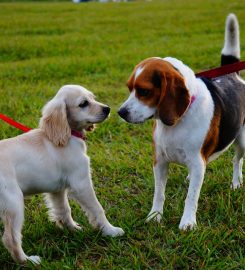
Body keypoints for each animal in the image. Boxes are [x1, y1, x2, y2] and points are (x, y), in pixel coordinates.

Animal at [0, 84, 123, 264]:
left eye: (93, 98)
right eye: (83, 103)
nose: (107, 109)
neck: (69, 135)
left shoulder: (57, 190)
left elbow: (64, 210)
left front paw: (72, 229)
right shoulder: (81, 183)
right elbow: (97, 209)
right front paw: (110, 230)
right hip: (14, 202)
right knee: (11, 238)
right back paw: (28, 260)